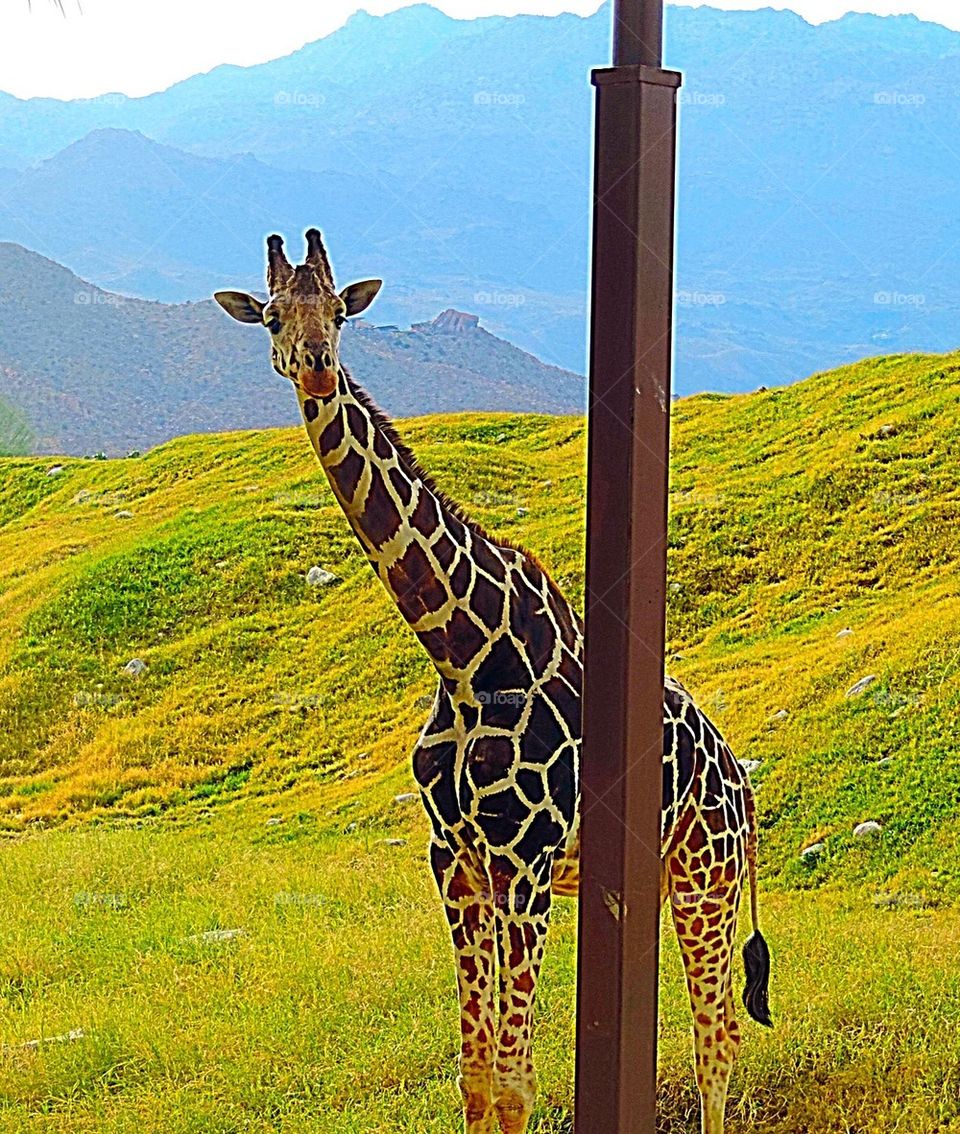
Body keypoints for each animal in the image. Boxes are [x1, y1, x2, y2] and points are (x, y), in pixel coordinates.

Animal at [214, 230, 772, 1134]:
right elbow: (477, 1078)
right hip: (664, 881)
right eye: (270, 315)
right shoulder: (455, 859)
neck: (466, 655)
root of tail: (742, 779)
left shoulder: (526, 860)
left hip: (706, 875)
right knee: (710, 1024)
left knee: (715, 1034)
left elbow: (516, 1084)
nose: (316, 366)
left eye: (337, 311)